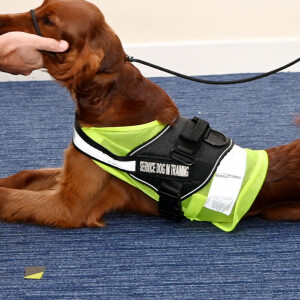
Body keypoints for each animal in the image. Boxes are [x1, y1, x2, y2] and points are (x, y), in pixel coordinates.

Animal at [0, 0, 300, 230]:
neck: (108, 94)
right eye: (40, 6)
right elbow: (24, 175)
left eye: (48, 20)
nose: (1, 20)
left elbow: (10, 197)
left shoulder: (69, 206)